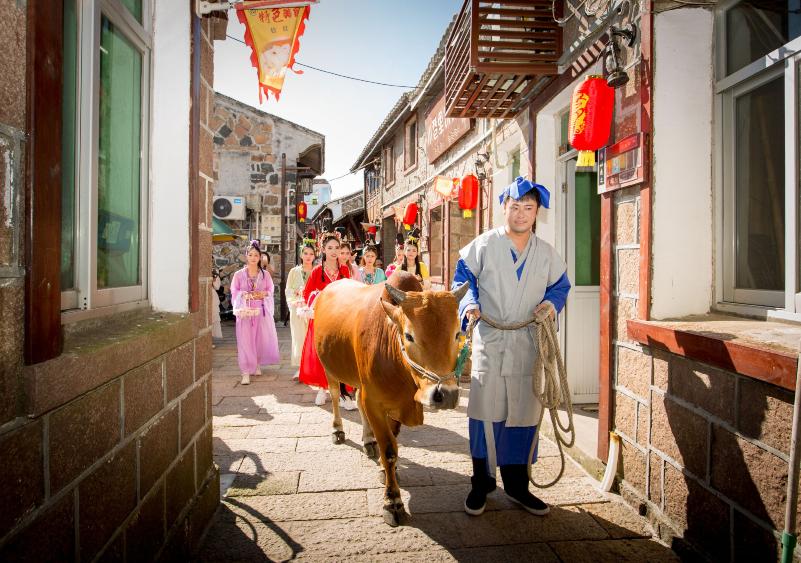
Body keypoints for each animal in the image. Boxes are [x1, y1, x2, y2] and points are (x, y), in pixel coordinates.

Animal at [310, 270, 466, 528]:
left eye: (457, 334)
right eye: (409, 336)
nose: (446, 394)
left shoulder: (393, 405)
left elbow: (392, 442)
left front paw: (384, 470)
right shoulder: (375, 401)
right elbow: (390, 450)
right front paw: (393, 502)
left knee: (358, 401)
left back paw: (368, 441)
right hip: (329, 369)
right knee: (334, 396)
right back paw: (338, 430)